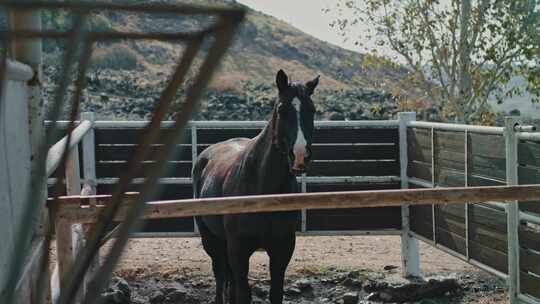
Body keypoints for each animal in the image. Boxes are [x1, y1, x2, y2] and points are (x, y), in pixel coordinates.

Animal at [193, 70, 318, 302]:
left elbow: (275, 293)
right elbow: (243, 294)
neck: (261, 188)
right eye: (282, 109)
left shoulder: (282, 250)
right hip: (212, 241)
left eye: (312, 110)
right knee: (220, 276)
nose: (299, 156)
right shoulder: (239, 251)